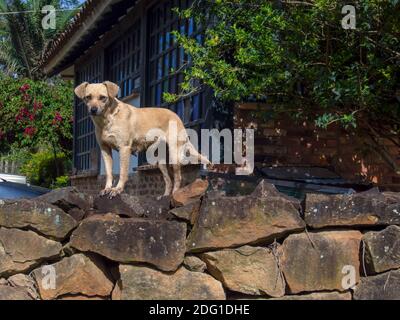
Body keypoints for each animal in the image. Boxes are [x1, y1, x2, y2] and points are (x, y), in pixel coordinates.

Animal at [74, 81, 209, 198]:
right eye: (88, 97)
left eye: (103, 97)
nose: (93, 110)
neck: (107, 119)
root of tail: (177, 117)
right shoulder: (105, 149)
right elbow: (108, 172)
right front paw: (107, 188)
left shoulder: (124, 148)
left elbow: (123, 172)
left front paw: (117, 189)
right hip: (160, 161)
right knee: (168, 180)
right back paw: (165, 196)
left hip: (174, 154)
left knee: (178, 177)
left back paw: (174, 195)